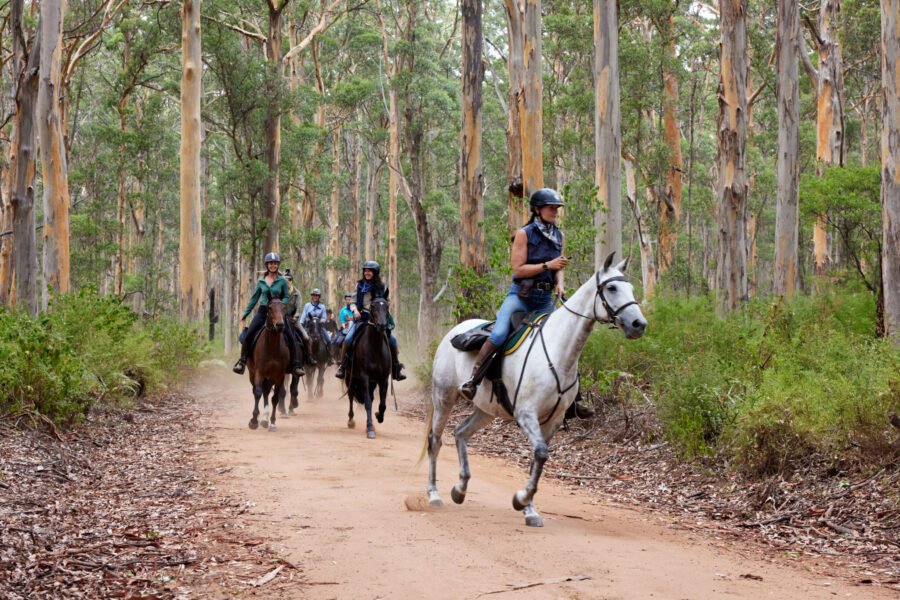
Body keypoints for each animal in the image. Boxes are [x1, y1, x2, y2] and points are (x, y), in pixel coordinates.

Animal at [246, 295, 290, 432]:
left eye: (284, 307)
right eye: (270, 308)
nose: (280, 325)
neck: (272, 346)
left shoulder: (279, 375)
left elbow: (275, 398)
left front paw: (272, 423)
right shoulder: (259, 372)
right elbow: (258, 393)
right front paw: (253, 421)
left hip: (270, 377)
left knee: (266, 392)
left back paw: (265, 419)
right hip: (252, 373)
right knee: (257, 390)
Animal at [342, 297, 392, 439]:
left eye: (386, 307)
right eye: (373, 307)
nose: (382, 325)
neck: (375, 348)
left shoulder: (383, 379)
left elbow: (382, 403)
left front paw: (379, 417)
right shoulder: (364, 377)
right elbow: (368, 403)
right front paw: (370, 428)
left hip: (372, 383)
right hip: (350, 378)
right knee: (351, 395)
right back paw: (351, 420)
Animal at [423, 253, 647, 527]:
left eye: (631, 288)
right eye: (612, 288)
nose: (639, 324)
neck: (559, 352)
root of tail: (453, 333)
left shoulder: (553, 420)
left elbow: (537, 460)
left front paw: (528, 509)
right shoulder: (526, 413)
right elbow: (540, 453)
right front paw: (520, 500)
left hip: (487, 409)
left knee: (460, 433)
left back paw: (460, 489)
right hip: (444, 397)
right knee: (435, 440)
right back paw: (434, 494)